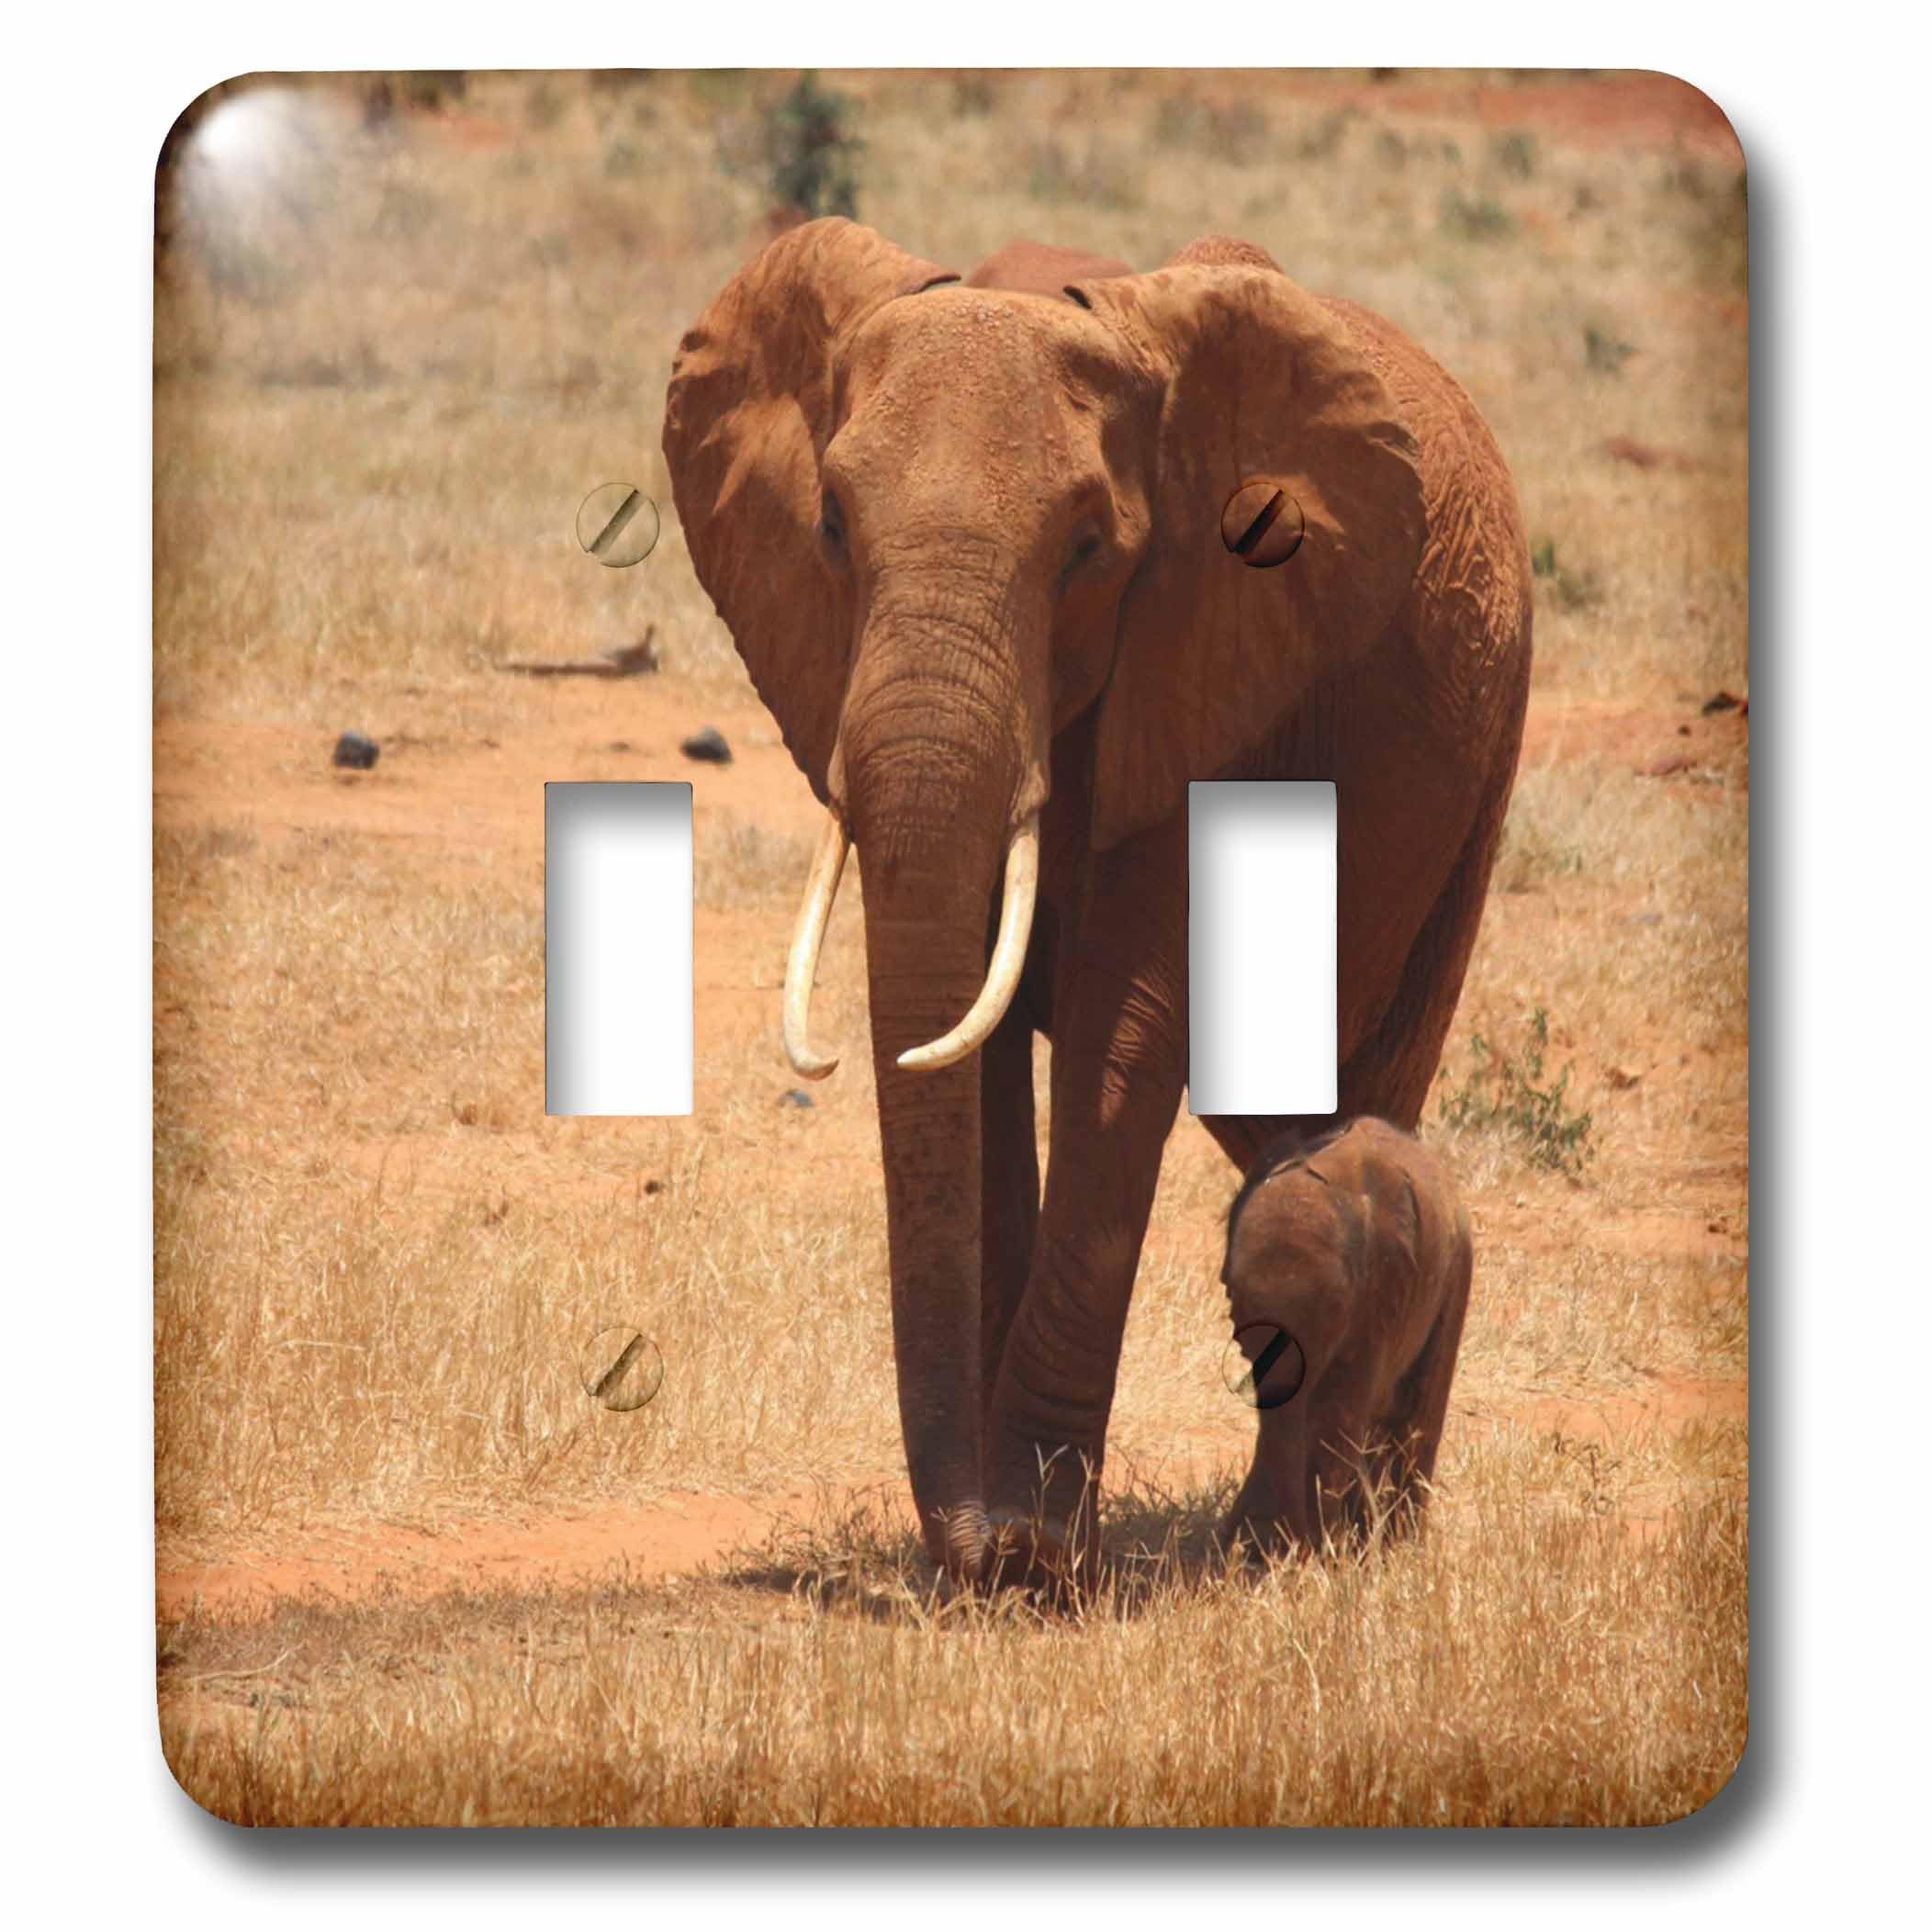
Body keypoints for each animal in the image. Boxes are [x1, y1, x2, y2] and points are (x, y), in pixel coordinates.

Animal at [1220, 1118, 1473, 1555]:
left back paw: (1401, 1544)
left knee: (1419, 1415)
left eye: (1336, 1307)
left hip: (1457, 1271)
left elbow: (1337, 1417)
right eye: (1234, 1297)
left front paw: (1330, 1554)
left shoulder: (1379, 1291)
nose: (1291, 1548)